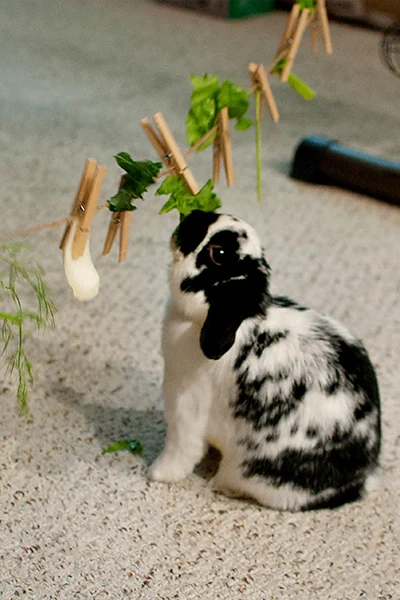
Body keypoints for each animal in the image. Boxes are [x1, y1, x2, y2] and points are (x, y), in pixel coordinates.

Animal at [149, 211, 382, 510]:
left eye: (218, 253)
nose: (192, 216)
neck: (200, 319)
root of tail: (359, 481)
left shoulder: (186, 407)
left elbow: (180, 450)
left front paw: (156, 473)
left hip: (252, 471)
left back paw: (222, 486)